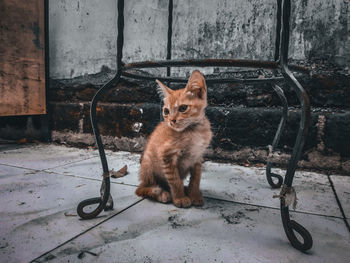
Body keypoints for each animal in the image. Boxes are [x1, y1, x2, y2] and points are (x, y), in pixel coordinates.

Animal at [135, 70, 212, 208]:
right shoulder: (166, 155)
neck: (193, 131)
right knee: (142, 189)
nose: (171, 121)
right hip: (148, 165)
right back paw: (162, 193)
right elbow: (175, 180)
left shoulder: (198, 155)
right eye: (166, 111)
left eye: (183, 108)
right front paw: (180, 198)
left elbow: (196, 178)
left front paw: (194, 194)